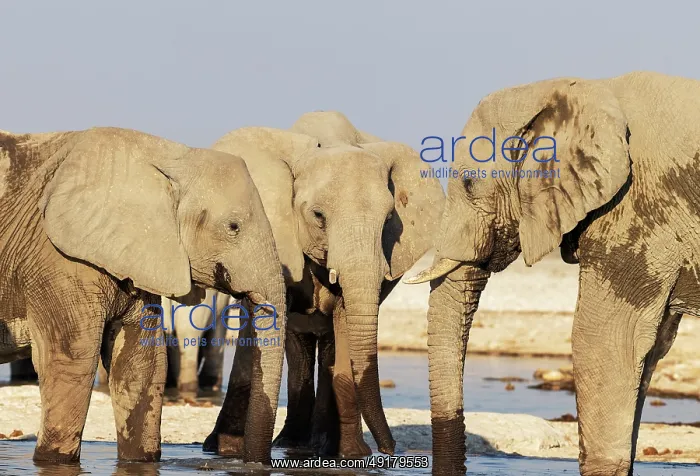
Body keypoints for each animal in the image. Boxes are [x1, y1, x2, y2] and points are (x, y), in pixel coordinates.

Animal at [0, 127, 286, 465]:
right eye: (233, 227)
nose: (249, 461)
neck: (168, 155)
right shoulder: (57, 260)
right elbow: (71, 360)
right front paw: (52, 463)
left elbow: (141, 363)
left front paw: (140, 461)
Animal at [203, 111, 444, 457]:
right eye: (318, 215)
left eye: (389, 220)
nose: (390, 450)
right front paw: (228, 451)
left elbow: (345, 322)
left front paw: (353, 455)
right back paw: (286, 444)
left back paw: (317, 446)